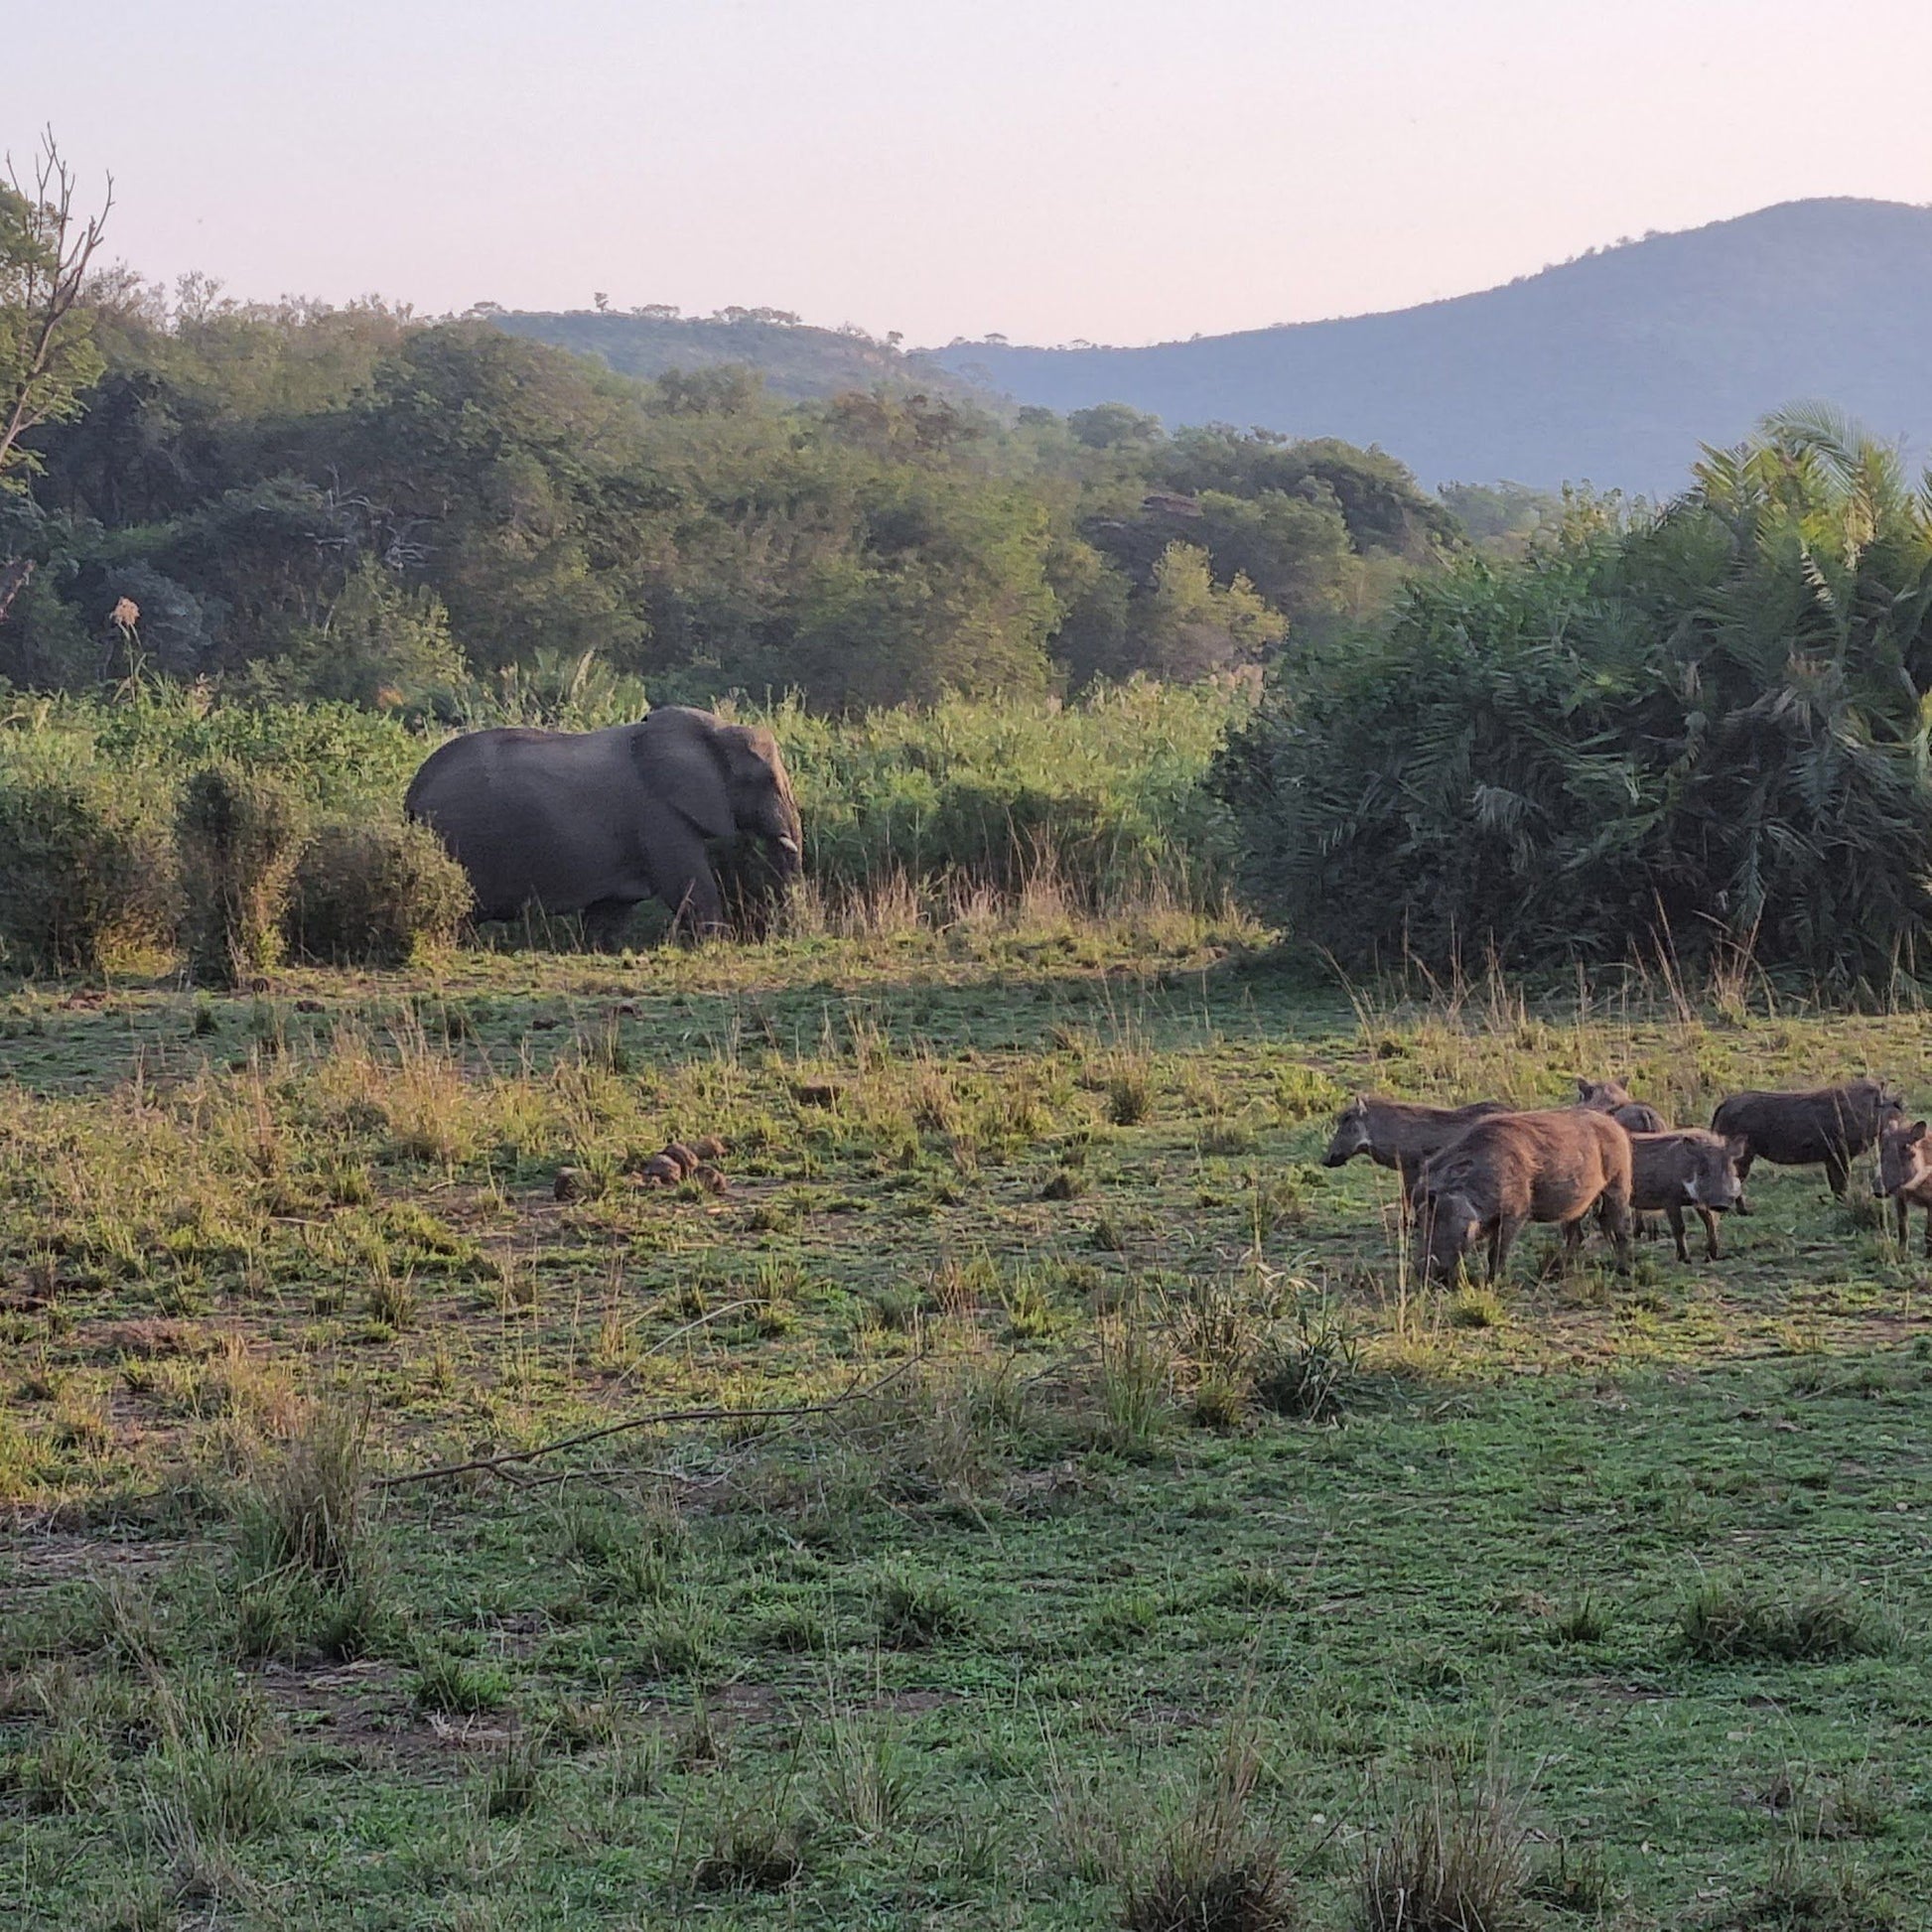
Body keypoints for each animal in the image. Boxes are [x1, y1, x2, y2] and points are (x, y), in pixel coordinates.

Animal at [403, 711, 803, 950]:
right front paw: (717, 945)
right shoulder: (658, 813)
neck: (715, 729)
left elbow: (611, 909)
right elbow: (689, 887)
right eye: (766, 781)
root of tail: (413, 791)